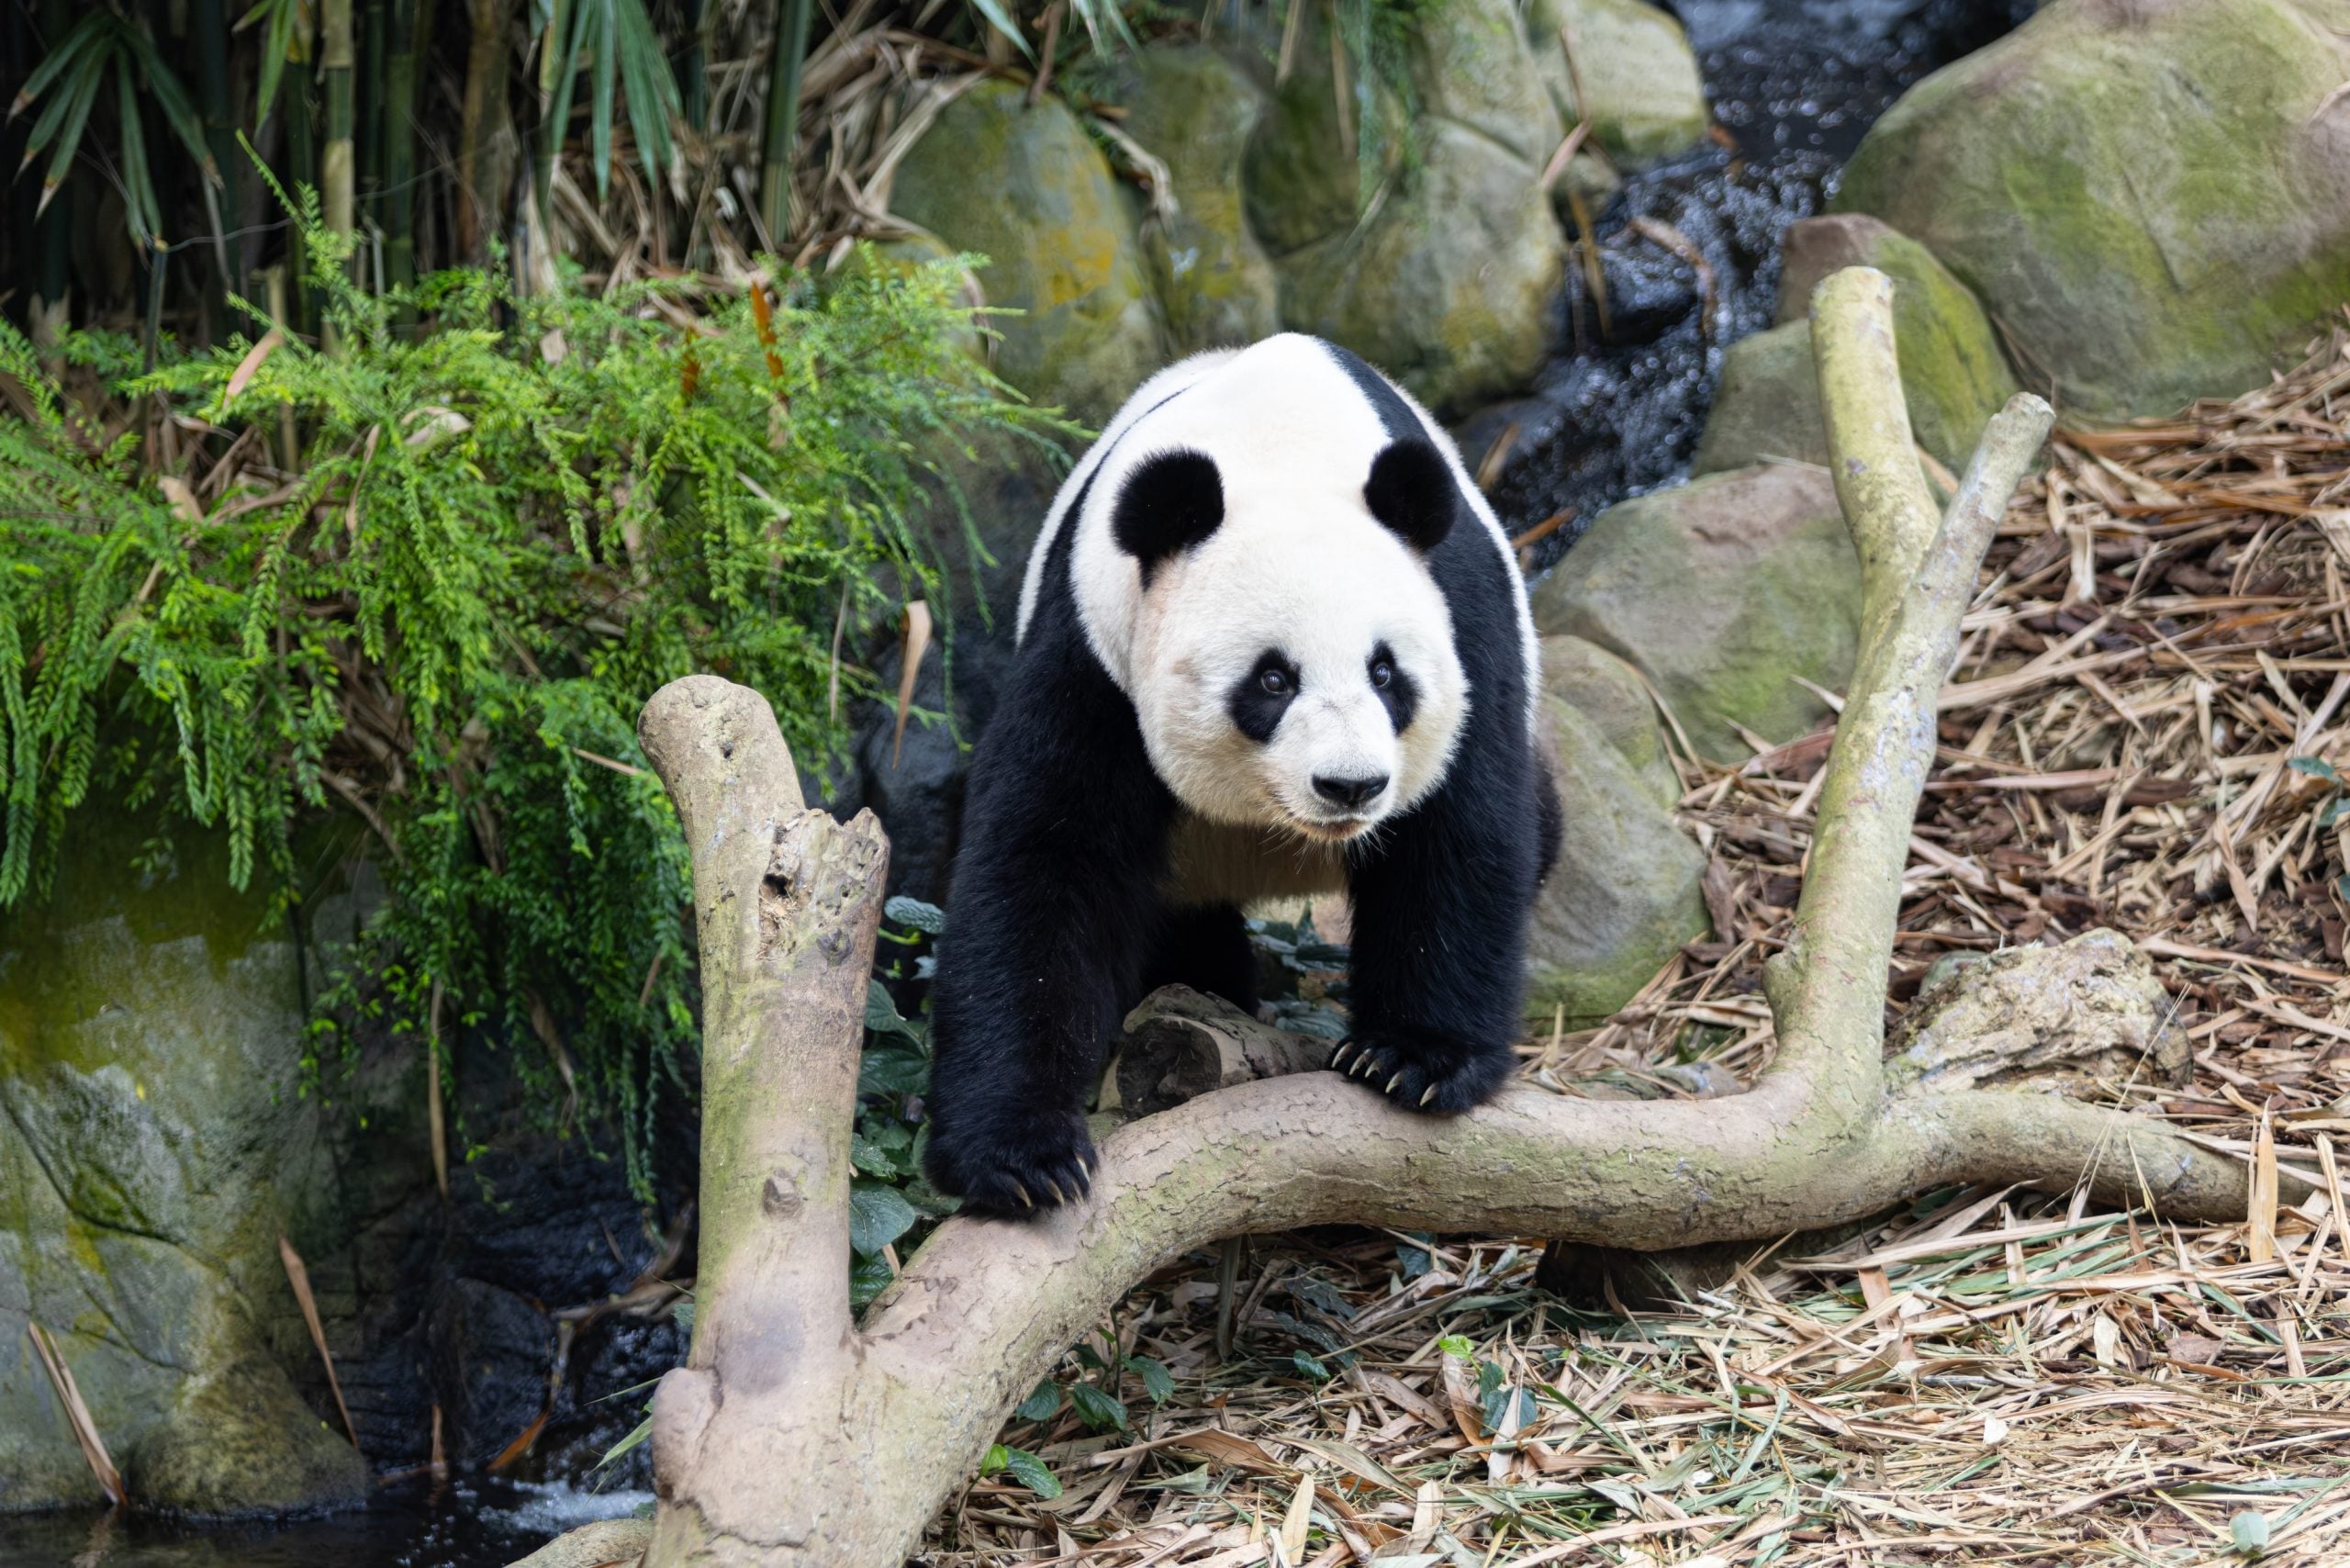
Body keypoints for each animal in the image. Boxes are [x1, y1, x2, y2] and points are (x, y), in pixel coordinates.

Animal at [924, 333, 1560, 1214]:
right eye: (1272, 680)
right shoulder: (1097, 650)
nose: (1350, 786)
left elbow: (1458, 837)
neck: (1282, 446)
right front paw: (1023, 1158)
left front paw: (1412, 1060)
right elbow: (1045, 859)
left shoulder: (1465, 626)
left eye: (1386, 674)